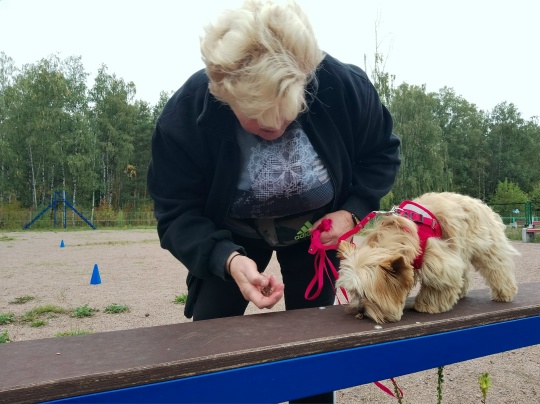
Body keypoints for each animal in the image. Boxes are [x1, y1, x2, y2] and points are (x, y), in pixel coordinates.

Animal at [335, 192, 519, 324]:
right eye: (354, 292)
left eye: (368, 295)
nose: (360, 310)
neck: (400, 235)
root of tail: (482, 205)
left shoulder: (439, 260)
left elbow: (437, 284)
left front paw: (427, 305)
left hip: (487, 246)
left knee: (497, 266)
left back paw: (504, 293)